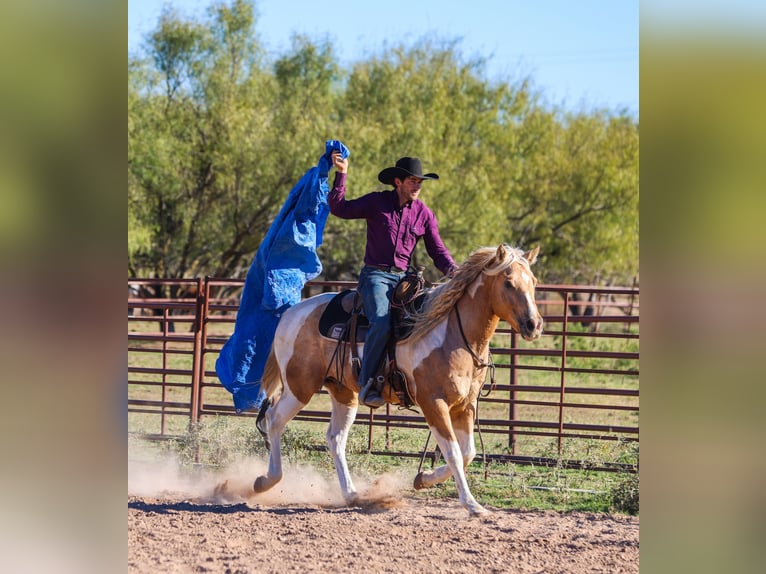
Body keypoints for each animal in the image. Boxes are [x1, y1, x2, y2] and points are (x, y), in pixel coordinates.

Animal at [250, 244, 543, 516]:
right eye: (508, 282)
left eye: (534, 281)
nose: (534, 325)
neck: (451, 334)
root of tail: (291, 313)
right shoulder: (433, 403)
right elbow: (453, 453)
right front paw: (472, 505)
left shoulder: (465, 405)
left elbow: (467, 452)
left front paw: (424, 479)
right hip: (299, 387)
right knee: (274, 419)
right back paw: (265, 481)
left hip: (343, 392)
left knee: (335, 438)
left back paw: (352, 494)